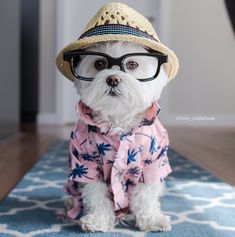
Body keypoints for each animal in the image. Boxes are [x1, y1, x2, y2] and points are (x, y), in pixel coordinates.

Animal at [63, 40, 171, 231]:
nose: (112, 79)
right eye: (99, 64)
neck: (118, 120)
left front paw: (152, 219)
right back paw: (71, 203)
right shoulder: (86, 163)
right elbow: (96, 195)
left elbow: (146, 196)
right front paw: (97, 220)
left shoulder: (154, 163)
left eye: (132, 64)